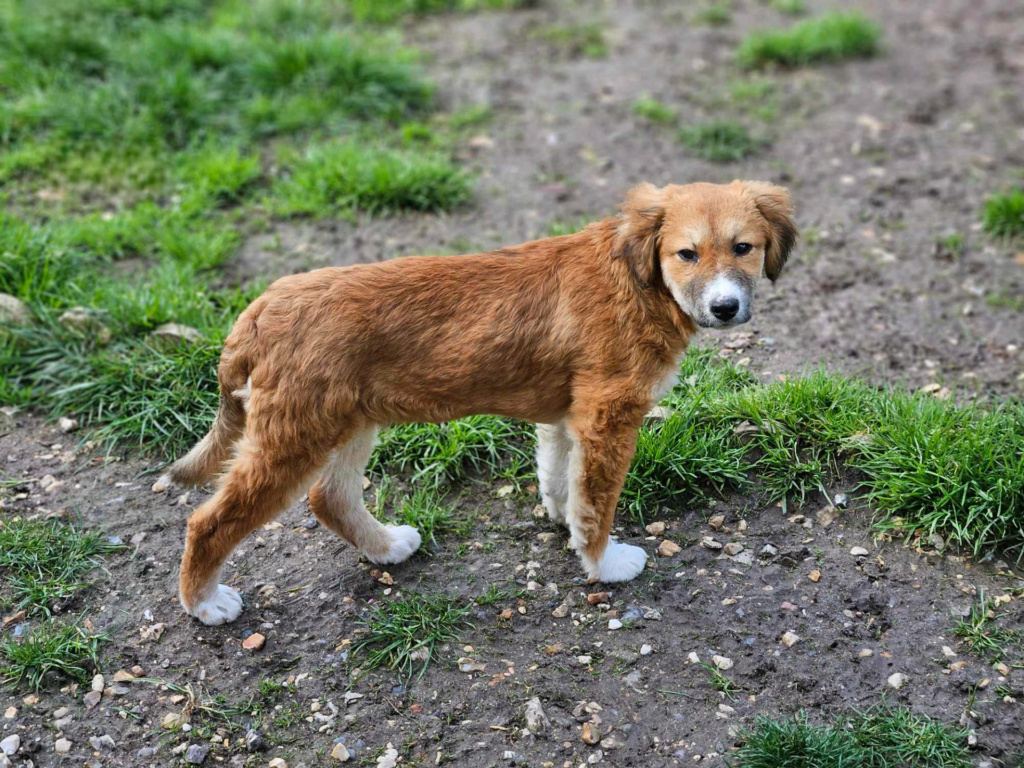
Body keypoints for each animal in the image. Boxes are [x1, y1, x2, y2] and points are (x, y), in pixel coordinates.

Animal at [163, 180, 794, 626]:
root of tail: (261, 306)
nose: (724, 308)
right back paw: (204, 604)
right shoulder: (609, 415)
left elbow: (563, 479)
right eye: (687, 254)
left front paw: (564, 522)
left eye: (743, 248)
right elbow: (599, 502)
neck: (637, 280)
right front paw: (603, 563)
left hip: (345, 421)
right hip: (293, 437)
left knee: (330, 497)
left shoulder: (569, 418)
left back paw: (387, 547)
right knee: (209, 521)